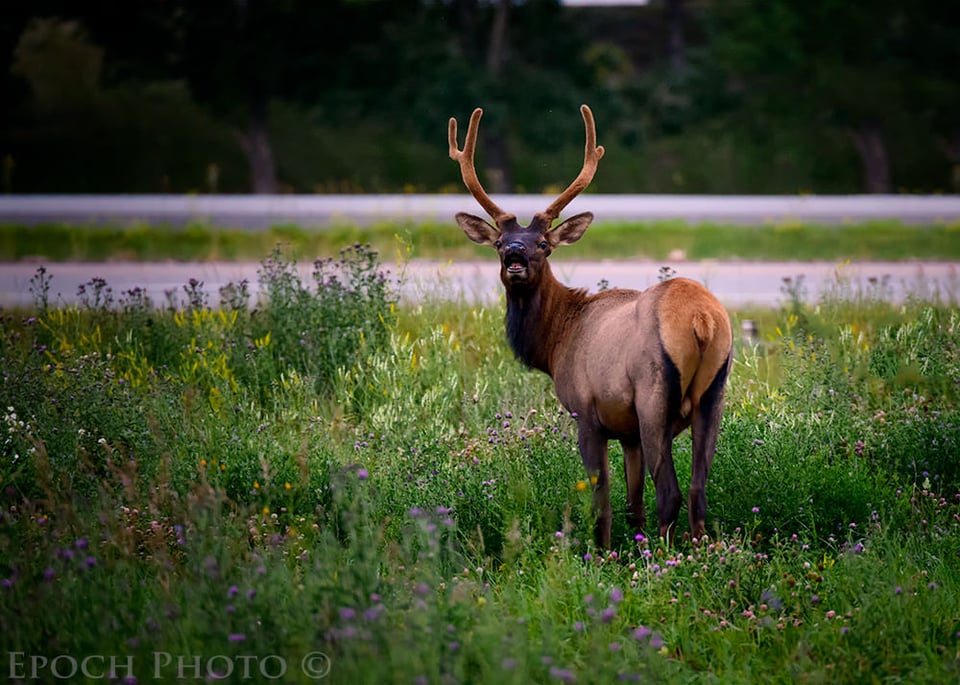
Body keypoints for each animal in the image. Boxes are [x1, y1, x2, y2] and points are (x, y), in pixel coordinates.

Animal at [446, 105, 732, 544]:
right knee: (698, 490)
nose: (515, 255)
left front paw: (601, 552)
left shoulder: (587, 412)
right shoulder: (627, 432)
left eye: (544, 244)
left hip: (654, 398)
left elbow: (602, 502)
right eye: (498, 243)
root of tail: (702, 320)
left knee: (670, 492)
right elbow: (633, 504)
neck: (555, 342)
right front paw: (633, 545)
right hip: (713, 395)